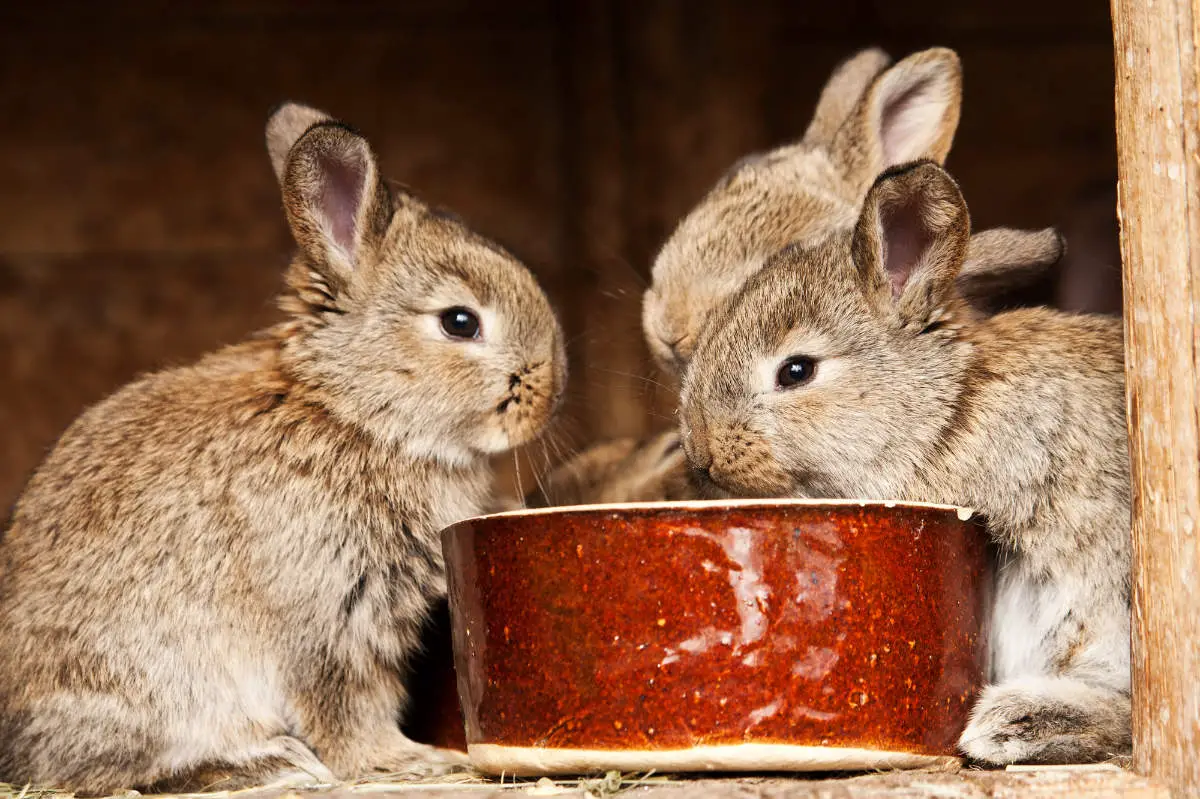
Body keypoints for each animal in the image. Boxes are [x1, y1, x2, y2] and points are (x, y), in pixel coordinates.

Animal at [0, 101, 566, 791]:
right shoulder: (332, 619)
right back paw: (271, 761)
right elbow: (347, 705)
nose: (551, 391)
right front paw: (404, 759)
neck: (353, 411)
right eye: (460, 322)